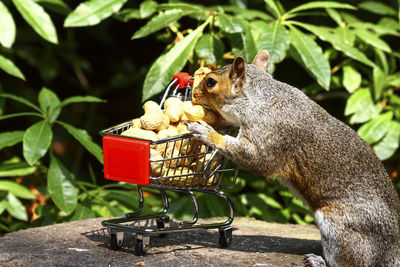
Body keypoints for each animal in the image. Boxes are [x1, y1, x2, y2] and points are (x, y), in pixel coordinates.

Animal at [188, 50, 400, 267]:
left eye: (211, 82)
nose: (194, 95)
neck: (260, 98)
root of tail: (392, 253)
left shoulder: (271, 134)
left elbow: (255, 159)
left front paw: (207, 133)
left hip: (341, 229)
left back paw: (318, 261)